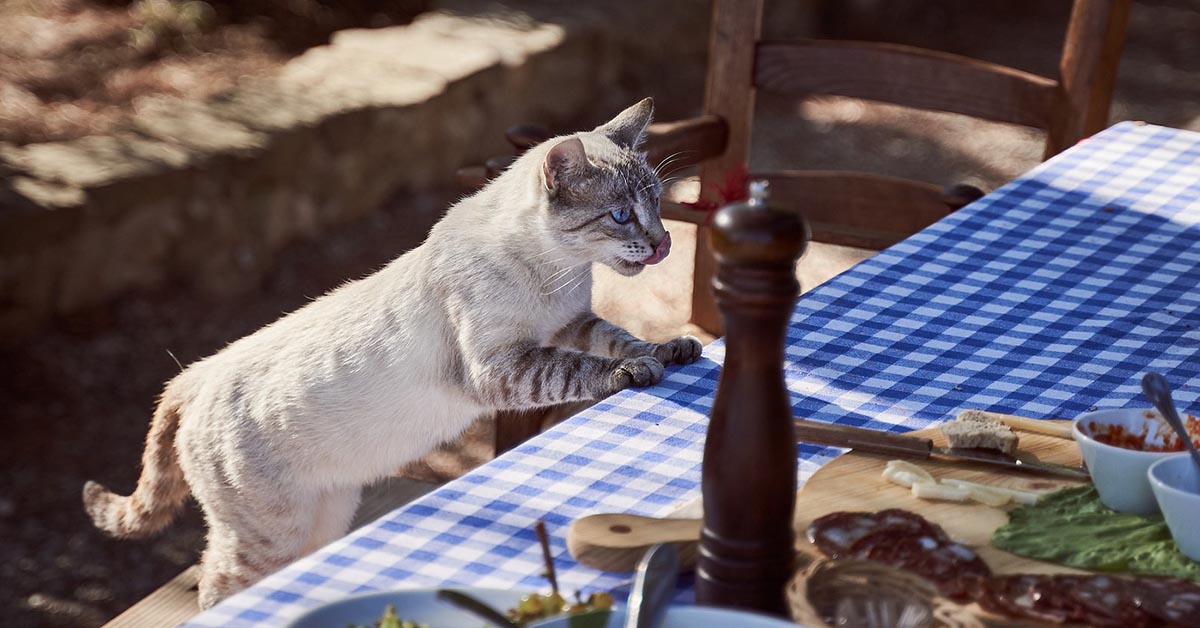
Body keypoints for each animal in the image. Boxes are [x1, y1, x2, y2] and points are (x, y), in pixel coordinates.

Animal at [82, 99, 700, 609]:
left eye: (658, 203)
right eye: (620, 215)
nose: (664, 242)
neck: (559, 274)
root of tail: (199, 371)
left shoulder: (571, 323)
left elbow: (618, 336)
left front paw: (672, 348)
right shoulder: (501, 367)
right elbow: (586, 368)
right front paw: (635, 370)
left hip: (324, 518)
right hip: (269, 535)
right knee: (215, 586)